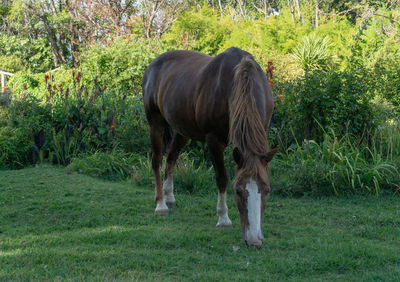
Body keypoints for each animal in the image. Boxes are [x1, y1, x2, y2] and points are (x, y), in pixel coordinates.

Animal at [142, 46, 276, 247]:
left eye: (266, 190)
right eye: (238, 191)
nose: (253, 240)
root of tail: (153, 64)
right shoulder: (214, 140)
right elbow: (222, 178)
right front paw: (223, 218)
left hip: (182, 131)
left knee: (171, 157)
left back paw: (169, 197)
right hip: (155, 123)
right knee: (157, 160)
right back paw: (161, 204)